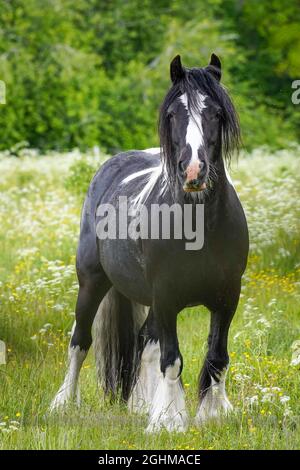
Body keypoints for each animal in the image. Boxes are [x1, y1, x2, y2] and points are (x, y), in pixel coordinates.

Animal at [51, 53, 248, 432]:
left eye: (216, 113)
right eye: (172, 114)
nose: (193, 171)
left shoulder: (227, 297)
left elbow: (216, 357)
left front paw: (213, 414)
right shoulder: (167, 296)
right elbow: (172, 359)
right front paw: (168, 420)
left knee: (145, 341)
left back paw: (140, 405)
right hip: (93, 281)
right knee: (80, 341)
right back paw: (63, 403)